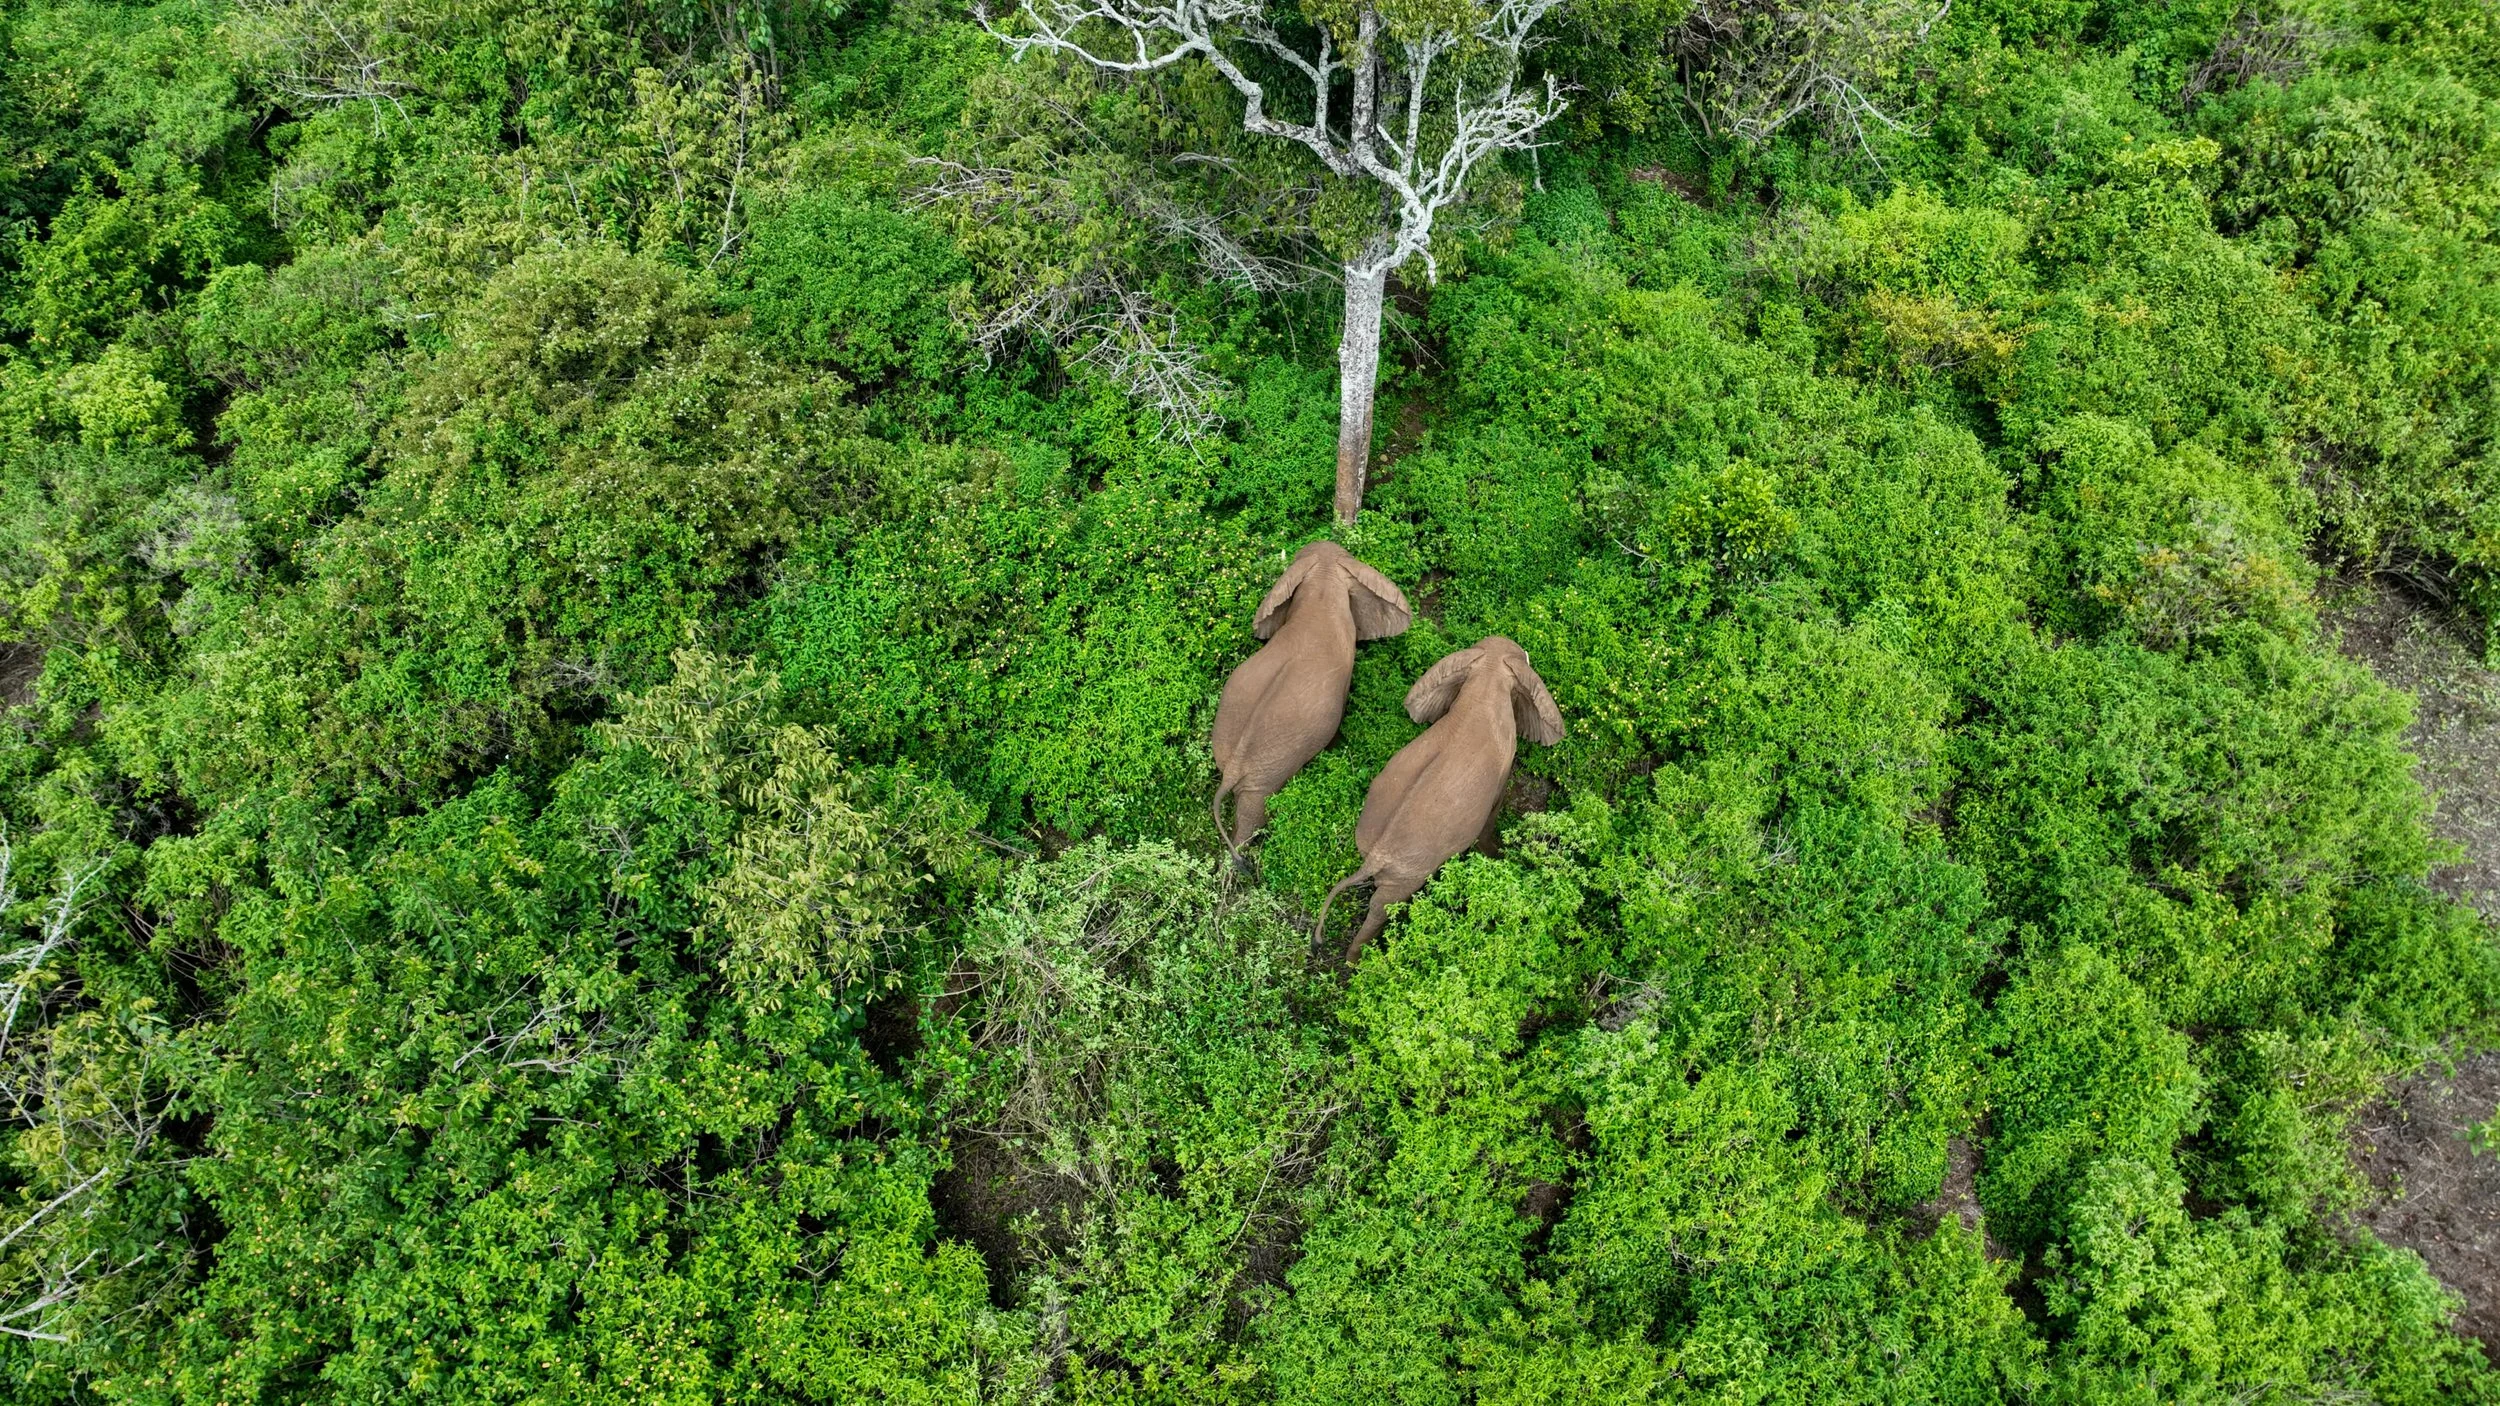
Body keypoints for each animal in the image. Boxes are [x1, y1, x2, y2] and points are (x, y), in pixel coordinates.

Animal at [1317, 637, 1564, 962]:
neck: (1486, 675)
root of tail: (1375, 856)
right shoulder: (1504, 766)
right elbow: (1492, 813)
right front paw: (1497, 854)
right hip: (1408, 874)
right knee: (1382, 907)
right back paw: (1358, 962)